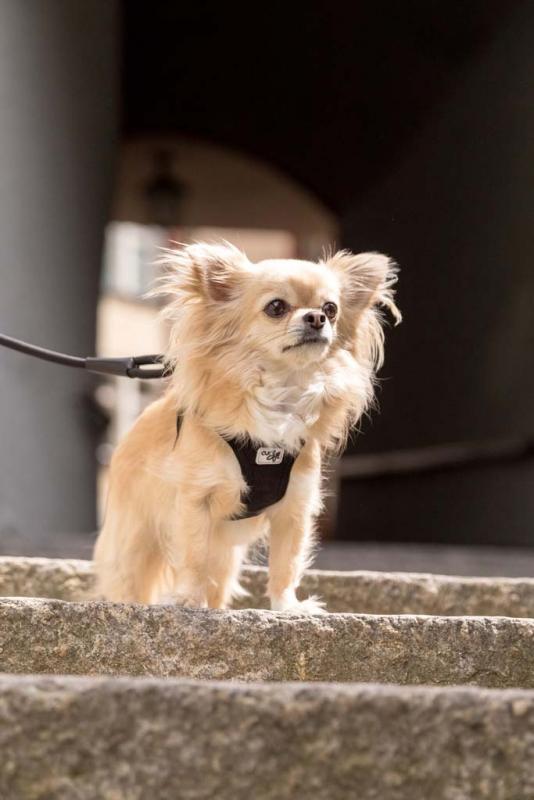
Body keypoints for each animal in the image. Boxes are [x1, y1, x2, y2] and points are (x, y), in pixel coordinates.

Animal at [93, 242, 400, 612]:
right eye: (276, 307)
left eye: (331, 308)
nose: (317, 317)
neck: (282, 390)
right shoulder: (195, 501)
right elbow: (193, 558)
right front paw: (187, 600)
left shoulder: (295, 508)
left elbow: (286, 564)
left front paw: (287, 607)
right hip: (134, 542)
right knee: (130, 579)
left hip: (224, 555)